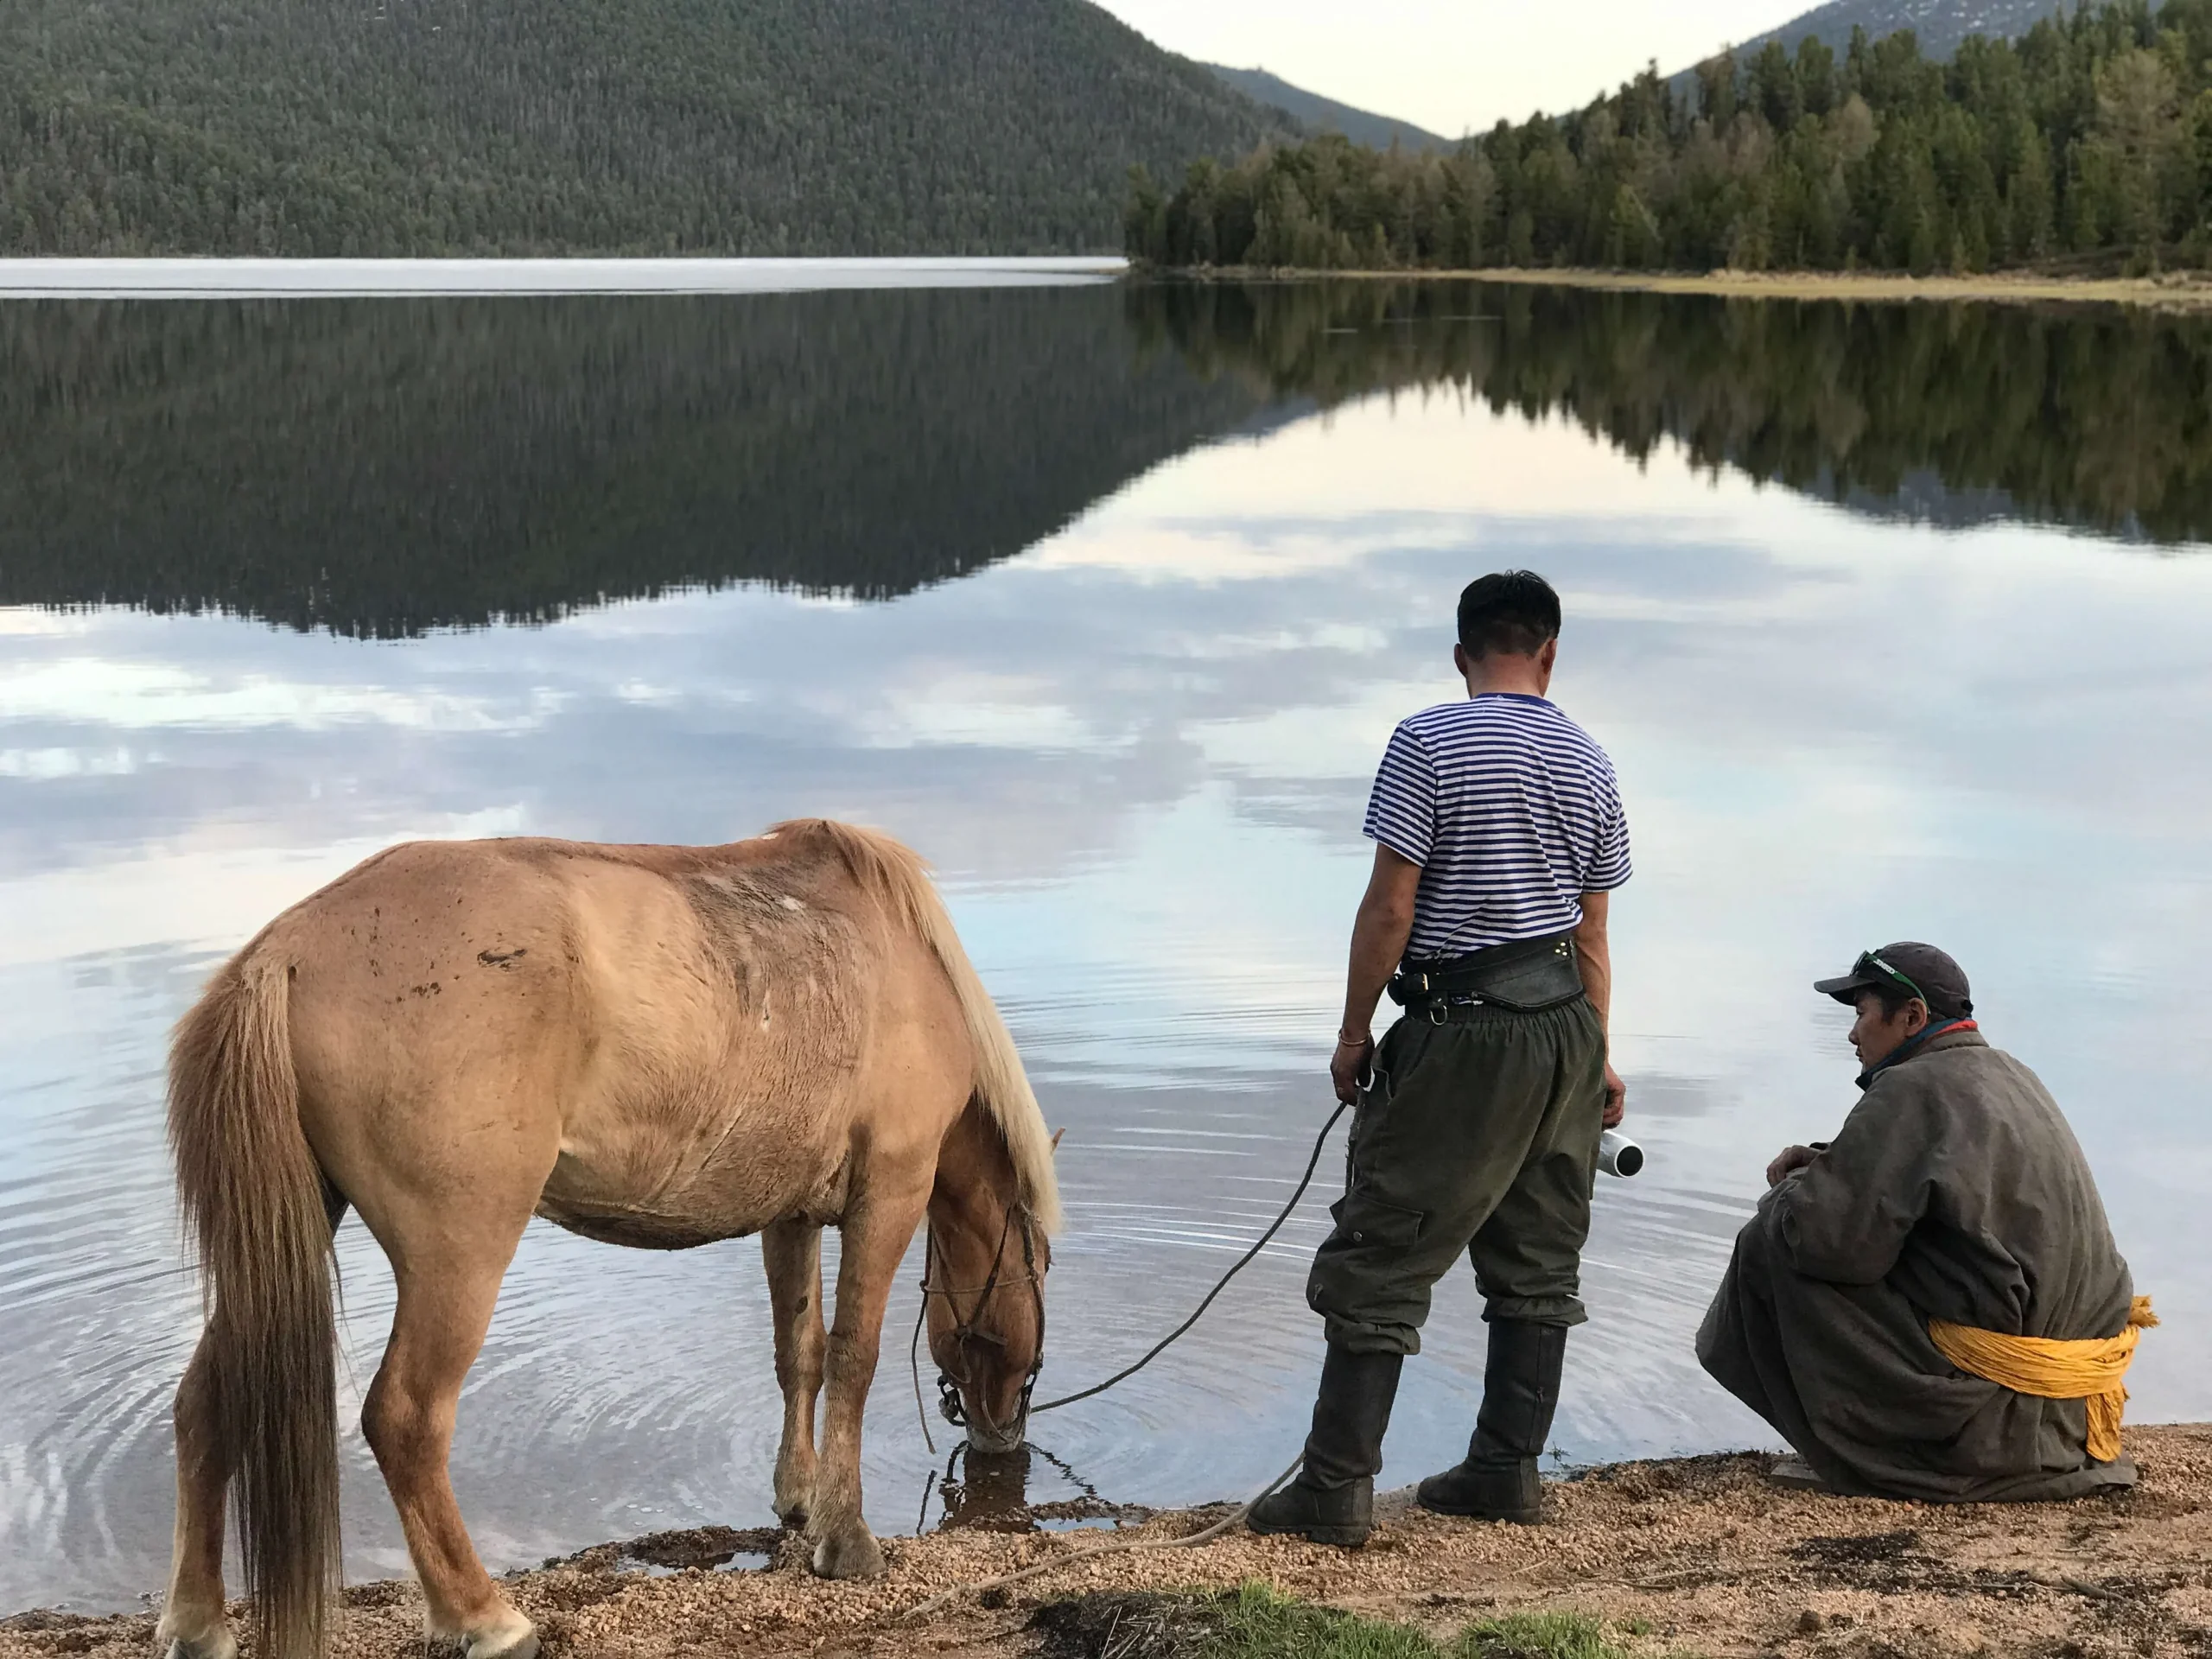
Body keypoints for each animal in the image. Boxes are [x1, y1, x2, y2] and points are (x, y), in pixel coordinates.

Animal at [156, 820, 1059, 1659]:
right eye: (1037, 1277)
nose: (1001, 1434)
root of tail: (283, 954)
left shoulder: (791, 1213)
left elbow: (798, 1354)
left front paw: (800, 1500)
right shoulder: (891, 1194)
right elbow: (853, 1358)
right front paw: (847, 1542)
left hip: (288, 1240)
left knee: (205, 1403)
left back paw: (197, 1622)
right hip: (459, 1257)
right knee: (405, 1419)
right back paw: (485, 1618)